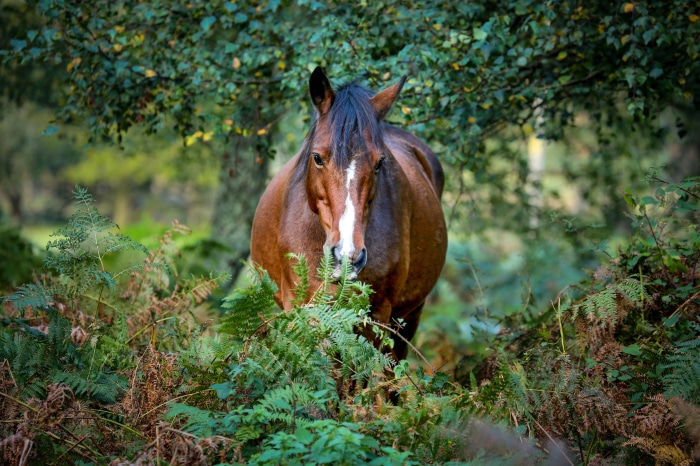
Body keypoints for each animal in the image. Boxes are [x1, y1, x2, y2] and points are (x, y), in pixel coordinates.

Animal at [250, 67, 447, 362]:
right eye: (317, 158)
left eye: (380, 162)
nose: (347, 256)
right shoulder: (303, 308)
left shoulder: (376, 315)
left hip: (407, 319)